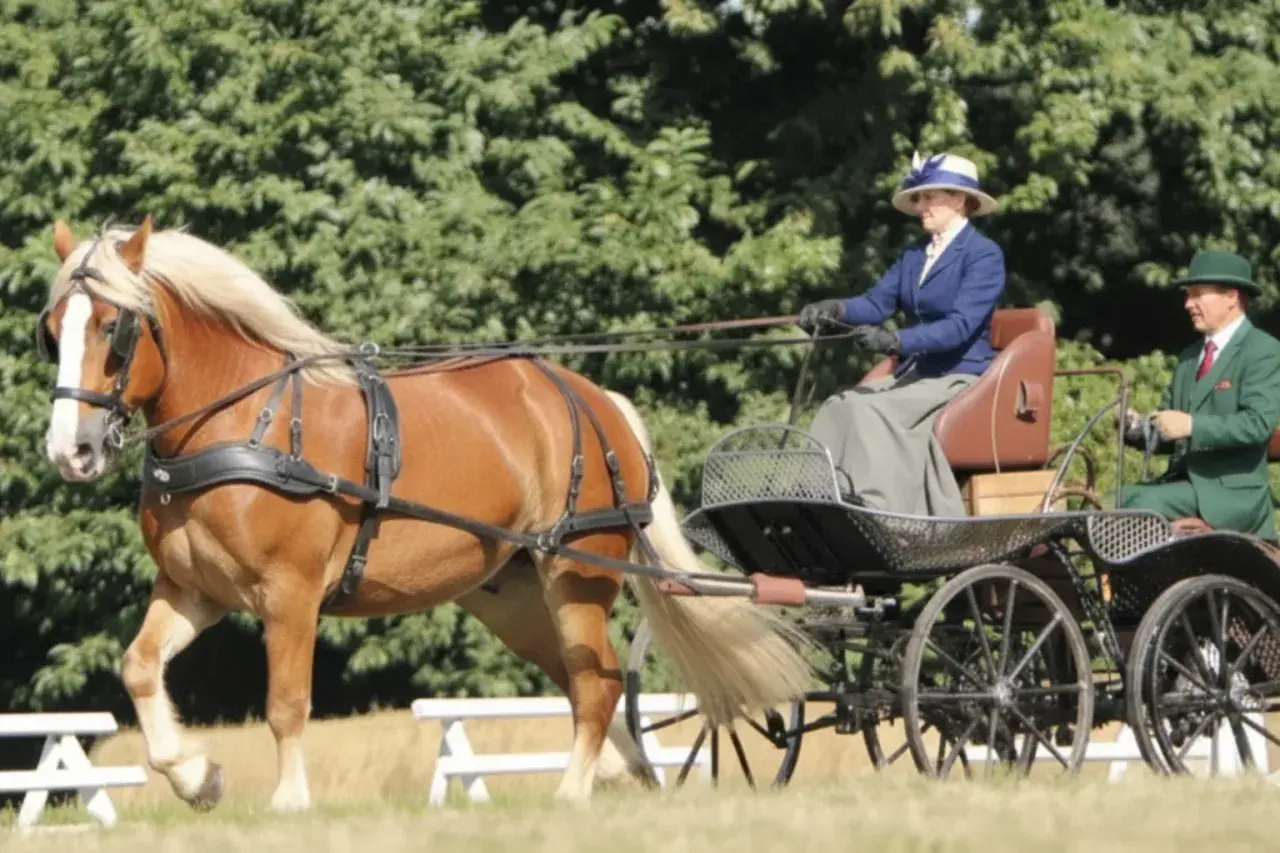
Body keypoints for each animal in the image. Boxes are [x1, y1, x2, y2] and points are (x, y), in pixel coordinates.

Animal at [35, 217, 814, 812]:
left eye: (114, 327)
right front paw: (198, 777)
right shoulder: (196, 590)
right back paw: (622, 774)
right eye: (52, 329)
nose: (70, 450)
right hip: (514, 597)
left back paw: (572, 789)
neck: (244, 423)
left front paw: (288, 800)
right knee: (586, 680)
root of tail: (596, 399)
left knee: (596, 686)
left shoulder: (290, 594)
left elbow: (286, 701)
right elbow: (139, 667)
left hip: (576, 574)